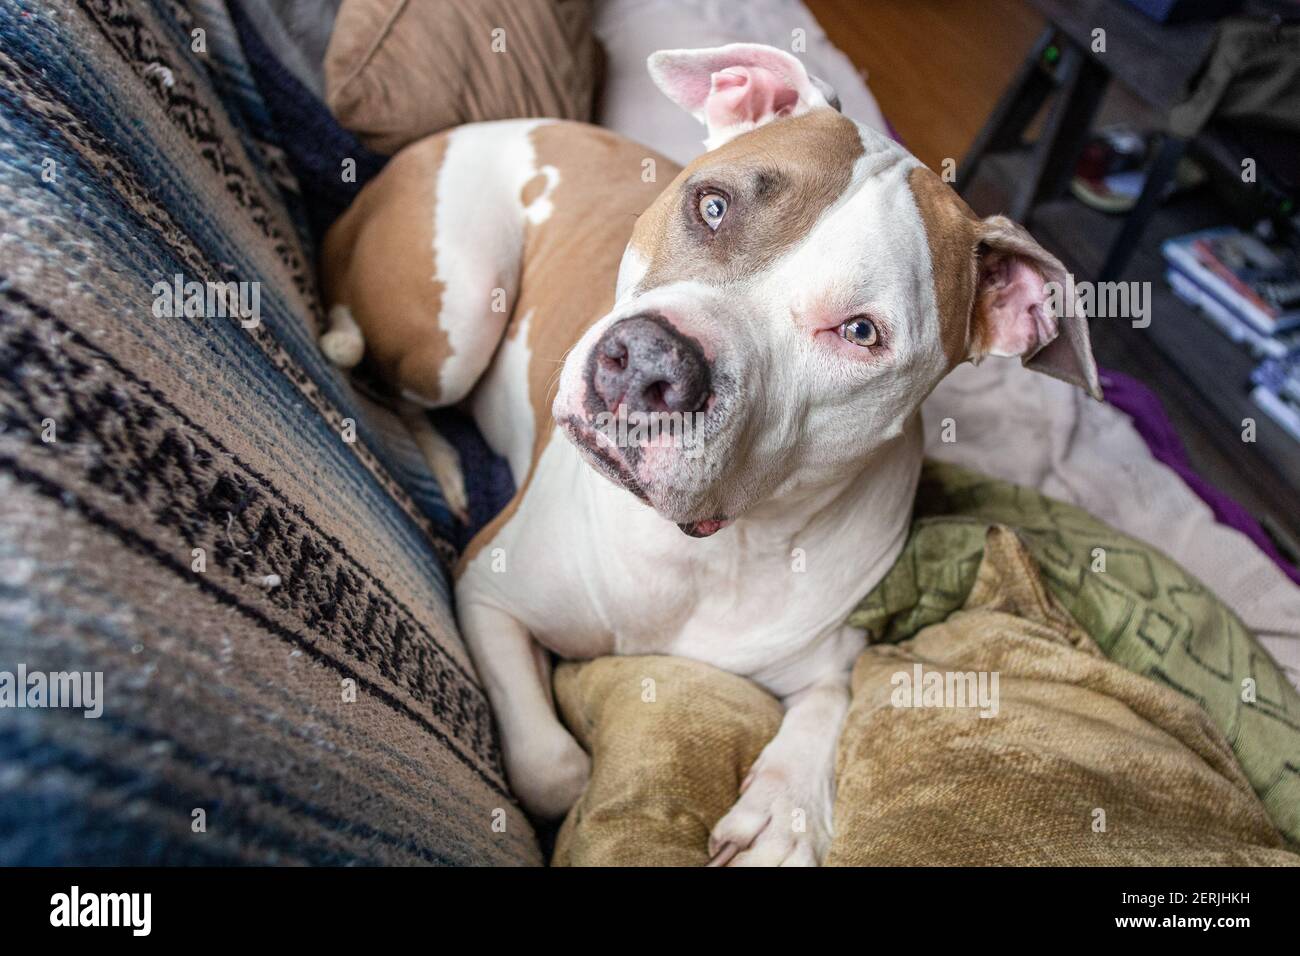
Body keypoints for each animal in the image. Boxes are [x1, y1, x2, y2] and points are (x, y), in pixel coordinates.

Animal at [322, 42, 1097, 868]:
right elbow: (555, 771)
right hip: (457, 325)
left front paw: (785, 810)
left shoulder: (831, 651)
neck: (708, 553)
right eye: (713, 206)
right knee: (380, 377)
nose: (647, 365)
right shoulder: (486, 594)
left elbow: (836, 697)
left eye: (860, 332)